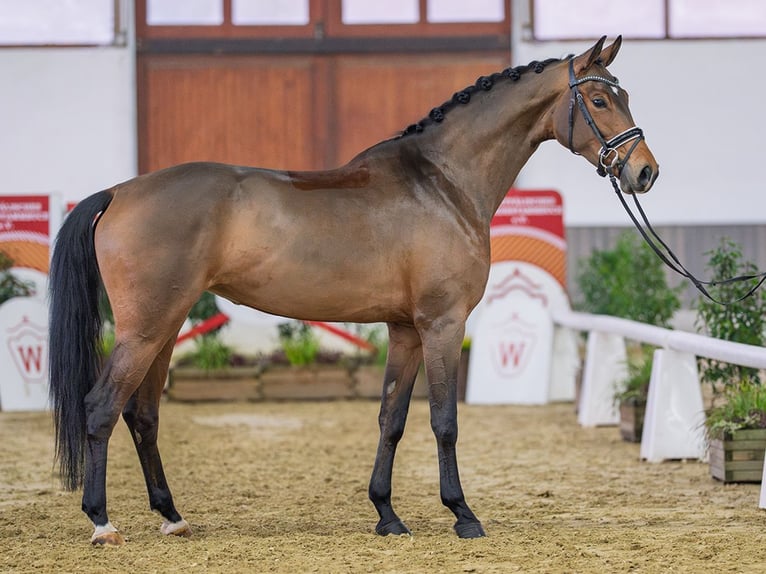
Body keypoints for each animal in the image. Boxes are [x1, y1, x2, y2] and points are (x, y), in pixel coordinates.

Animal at [48, 36, 658, 546]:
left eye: (624, 94)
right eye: (599, 99)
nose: (644, 172)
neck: (442, 183)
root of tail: (119, 191)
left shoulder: (406, 330)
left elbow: (392, 419)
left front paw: (387, 514)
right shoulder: (443, 324)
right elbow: (444, 421)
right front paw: (463, 515)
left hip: (166, 326)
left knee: (143, 415)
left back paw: (172, 517)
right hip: (146, 328)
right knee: (102, 408)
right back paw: (102, 523)